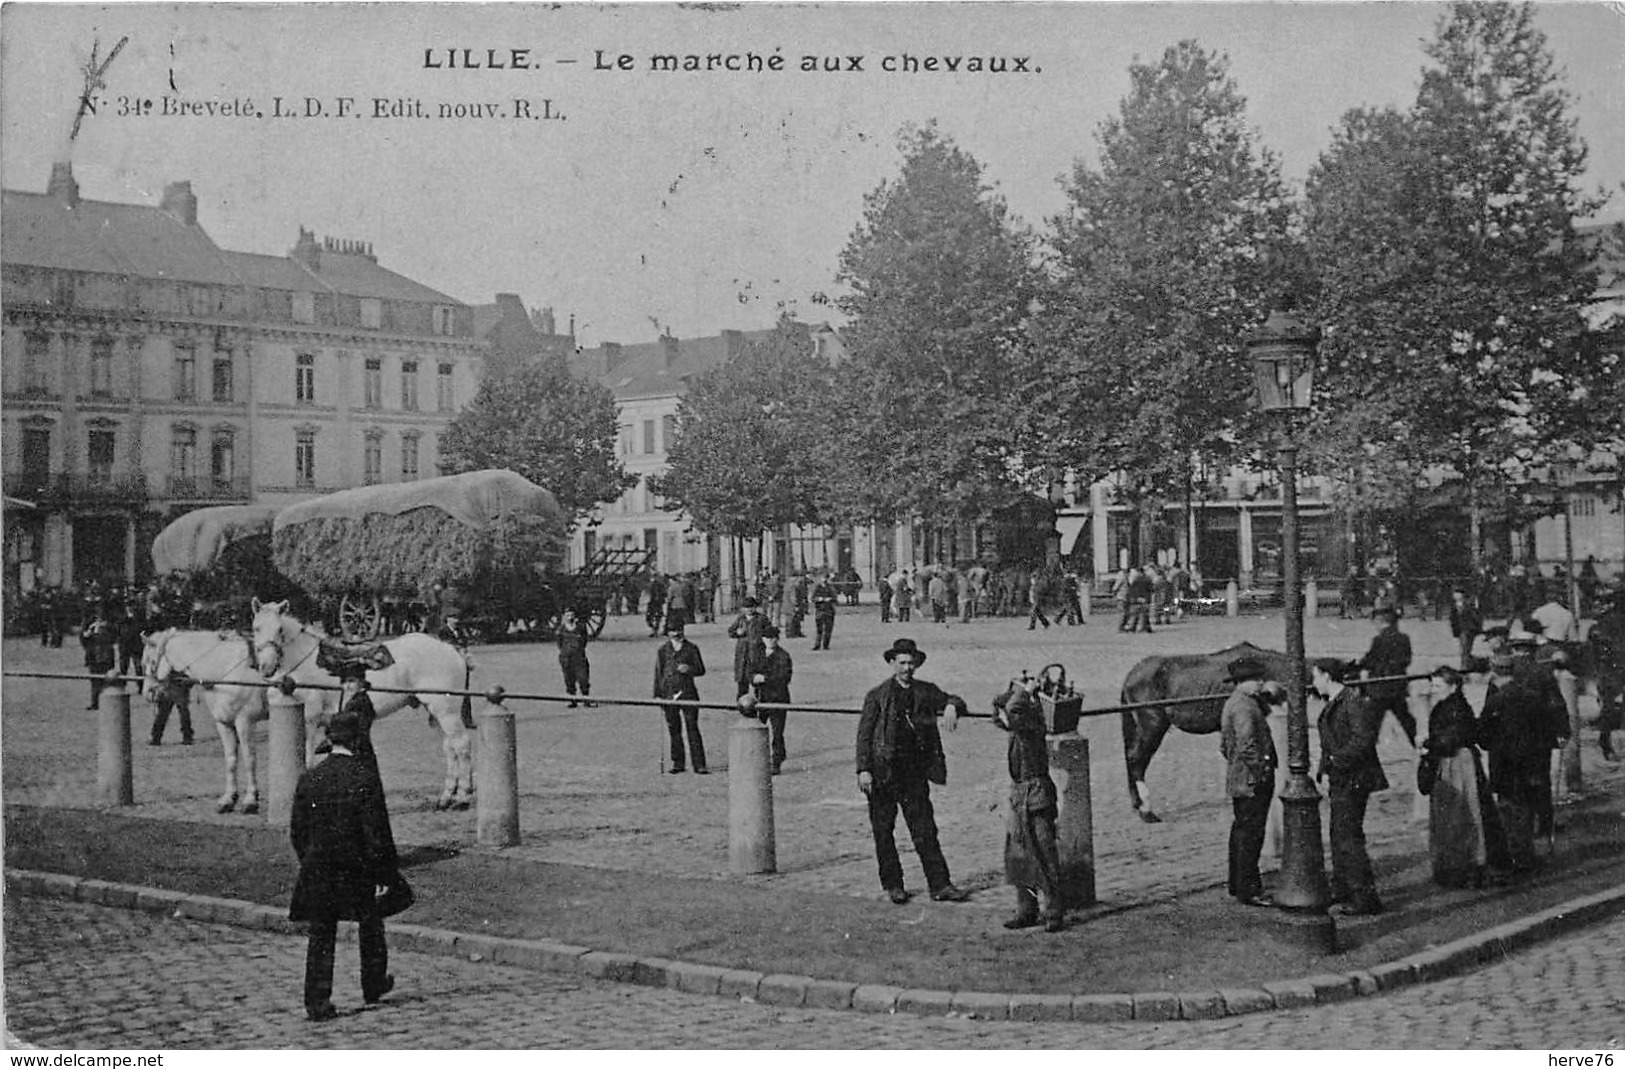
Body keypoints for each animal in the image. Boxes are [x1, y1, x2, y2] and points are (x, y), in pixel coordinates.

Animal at [142, 623, 269, 809]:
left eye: (150, 661)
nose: (147, 693)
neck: (227, 667)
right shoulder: (224, 723)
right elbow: (231, 759)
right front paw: (229, 799)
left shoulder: (245, 722)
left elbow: (249, 758)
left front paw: (251, 799)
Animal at [248, 594, 474, 802]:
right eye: (256, 628)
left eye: (279, 629)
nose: (266, 668)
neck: (306, 664)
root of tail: (452, 650)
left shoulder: (310, 718)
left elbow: (308, 757)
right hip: (436, 711)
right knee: (450, 747)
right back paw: (447, 796)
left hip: (446, 711)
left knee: (461, 744)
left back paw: (462, 796)